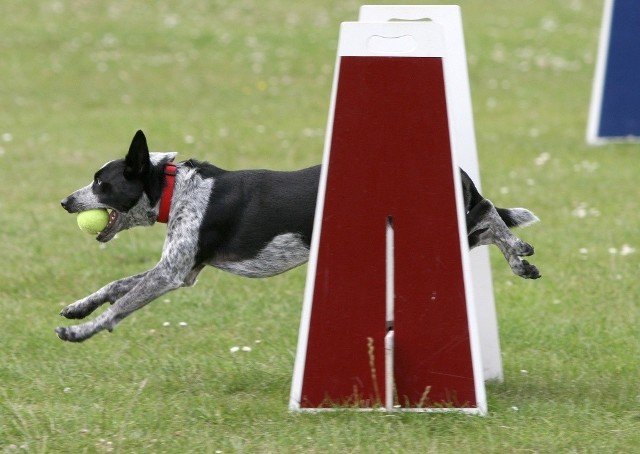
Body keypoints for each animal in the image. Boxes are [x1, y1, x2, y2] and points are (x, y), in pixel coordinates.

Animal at [56, 129, 540, 342]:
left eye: (101, 183)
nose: (64, 201)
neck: (175, 186)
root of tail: (456, 170)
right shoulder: (182, 269)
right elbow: (115, 286)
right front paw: (79, 308)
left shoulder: (173, 273)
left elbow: (121, 305)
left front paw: (83, 331)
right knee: (487, 221)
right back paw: (519, 258)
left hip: (441, 222)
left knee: (491, 212)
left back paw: (520, 253)